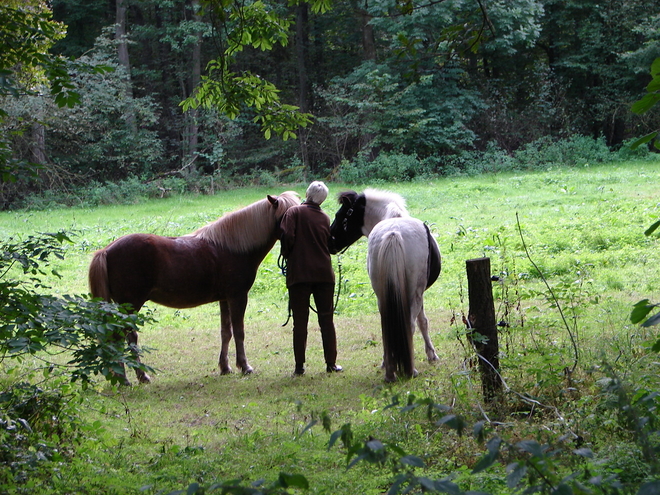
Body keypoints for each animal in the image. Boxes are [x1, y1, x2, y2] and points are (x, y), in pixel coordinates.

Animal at [87, 192, 300, 386]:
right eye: (286, 215)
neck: (234, 247)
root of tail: (106, 250)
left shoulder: (224, 299)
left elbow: (226, 332)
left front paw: (225, 367)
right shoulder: (238, 297)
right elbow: (239, 331)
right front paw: (245, 366)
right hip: (130, 305)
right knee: (119, 337)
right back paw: (127, 379)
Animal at [328, 190, 440, 384]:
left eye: (341, 215)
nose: (330, 242)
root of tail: (393, 233)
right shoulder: (419, 294)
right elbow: (423, 322)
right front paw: (431, 355)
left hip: (382, 296)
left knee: (386, 327)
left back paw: (390, 371)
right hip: (413, 295)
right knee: (410, 325)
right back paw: (409, 369)